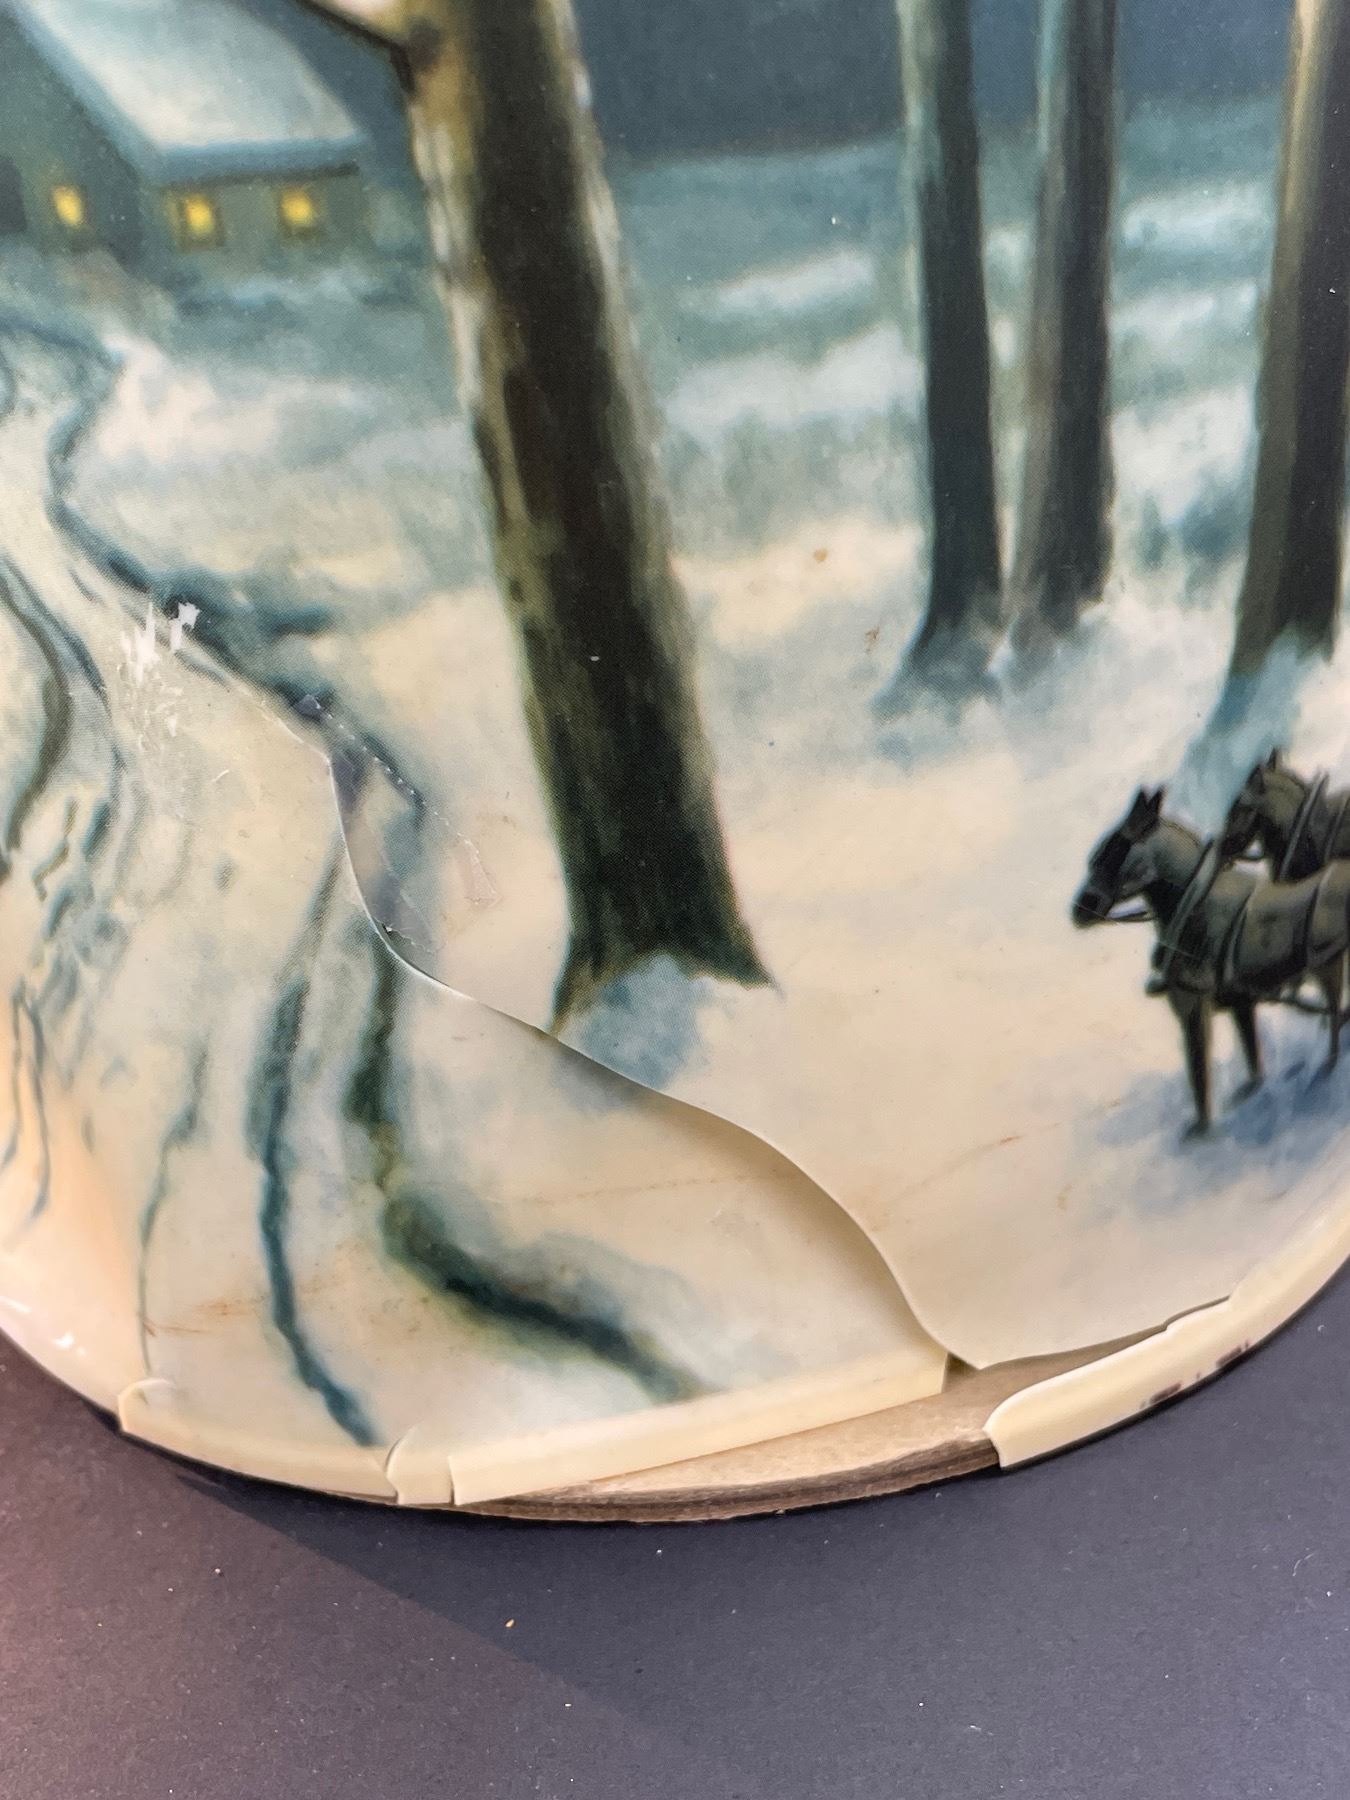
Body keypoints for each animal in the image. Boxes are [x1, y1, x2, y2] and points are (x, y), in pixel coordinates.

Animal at [1072, 786, 1350, 1135]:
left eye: (1116, 850)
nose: (1080, 909)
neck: (1194, 910)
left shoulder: (1191, 1009)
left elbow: (1198, 1070)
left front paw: (1201, 1128)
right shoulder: (1240, 1001)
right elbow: (1251, 1049)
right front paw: (1251, 1089)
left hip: (1328, 967)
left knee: (1334, 1017)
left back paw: (1328, 1065)